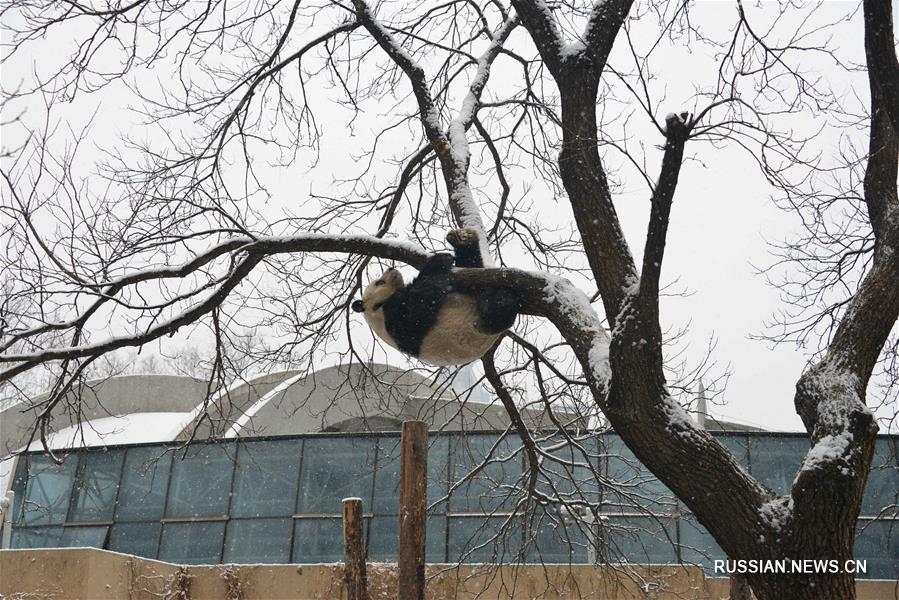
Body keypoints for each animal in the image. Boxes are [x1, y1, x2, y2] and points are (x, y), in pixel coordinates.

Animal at [352, 229, 520, 366]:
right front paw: (441, 259)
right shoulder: (397, 319)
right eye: (379, 282)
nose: (391, 269)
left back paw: (463, 240)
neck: (376, 310)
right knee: (495, 316)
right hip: (480, 325)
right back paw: (505, 298)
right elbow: (422, 299)